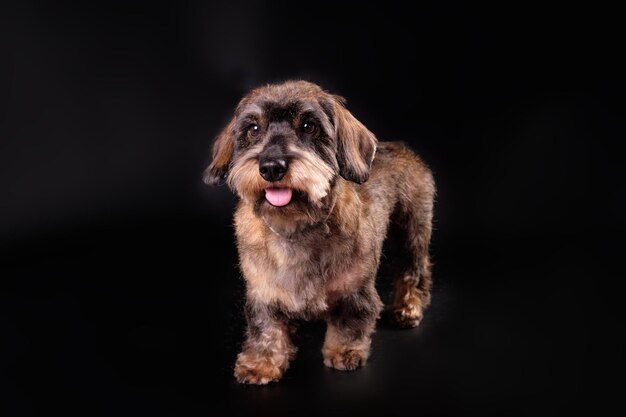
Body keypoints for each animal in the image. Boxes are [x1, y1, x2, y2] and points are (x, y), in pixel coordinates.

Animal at [202, 80, 432, 384]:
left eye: (309, 126)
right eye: (253, 129)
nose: (271, 167)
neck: (296, 227)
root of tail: (402, 147)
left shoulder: (355, 291)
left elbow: (350, 322)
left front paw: (345, 351)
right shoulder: (263, 293)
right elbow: (266, 328)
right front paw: (261, 363)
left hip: (413, 230)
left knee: (414, 270)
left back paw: (408, 308)